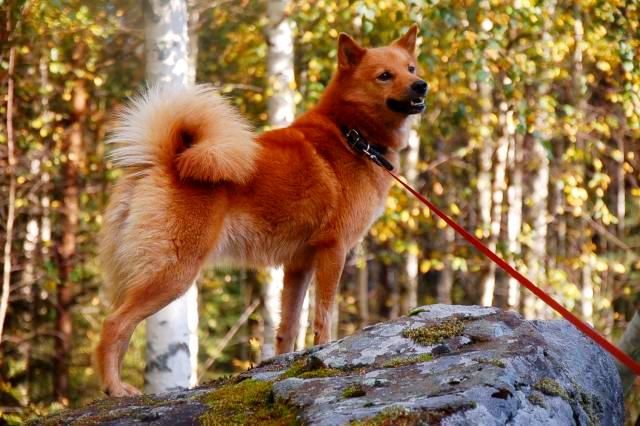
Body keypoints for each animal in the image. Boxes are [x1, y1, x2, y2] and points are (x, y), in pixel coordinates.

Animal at [95, 25, 424, 396]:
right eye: (385, 75)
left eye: (411, 68)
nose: (421, 85)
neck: (350, 133)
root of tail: (166, 159)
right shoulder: (333, 250)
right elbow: (323, 315)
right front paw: (324, 351)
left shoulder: (298, 264)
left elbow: (288, 327)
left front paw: (285, 364)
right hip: (173, 273)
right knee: (113, 324)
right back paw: (115, 388)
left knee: (121, 328)